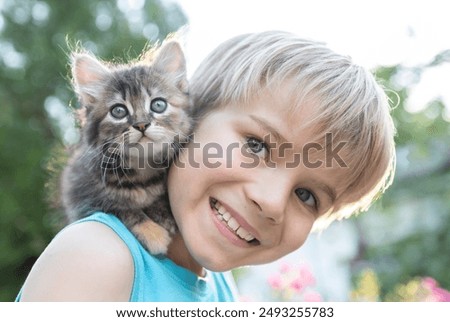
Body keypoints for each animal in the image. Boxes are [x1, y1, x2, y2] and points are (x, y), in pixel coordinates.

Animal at [61, 40, 192, 255]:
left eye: (158, 105)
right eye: (119, 111)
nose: (141, 125)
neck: (142, 170)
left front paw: (163, 213)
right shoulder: (78, 195)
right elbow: (118, 207)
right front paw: (152, 234)